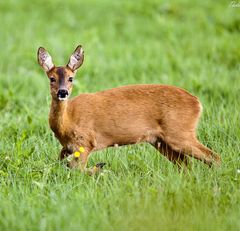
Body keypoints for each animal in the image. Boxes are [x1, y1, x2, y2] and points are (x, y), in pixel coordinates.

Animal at [37, 45, 219, 174]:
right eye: (52, 78)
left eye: (71, 78)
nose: (63, 92)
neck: (68, 122)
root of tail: (197, 102)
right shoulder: (67, 147)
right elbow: (61, 165)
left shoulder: (86, 142)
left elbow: (77, 170)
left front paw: (100, 168)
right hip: (161, 141)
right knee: (186, 166)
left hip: (180, 133)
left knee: (213, 157)